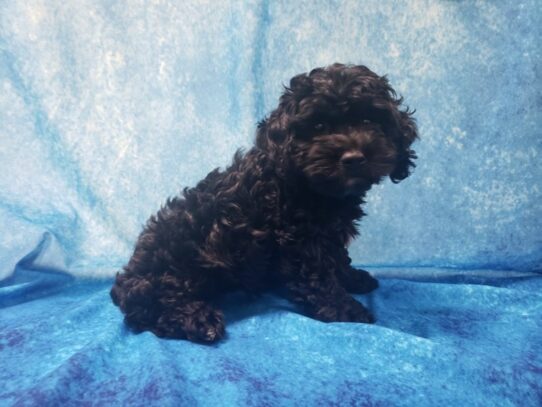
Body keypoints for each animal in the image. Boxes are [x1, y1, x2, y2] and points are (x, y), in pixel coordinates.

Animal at [109, 64, 416, 344]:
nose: (353, 158)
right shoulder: (299, 241)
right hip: (176, 261)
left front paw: (354, 279)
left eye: (368, 121)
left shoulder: (327, 234)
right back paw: (198, 320)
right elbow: (319, 278)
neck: (310, 186)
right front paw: (346, 310)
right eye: (318, 127)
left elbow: (338, 259)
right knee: (144, 308)